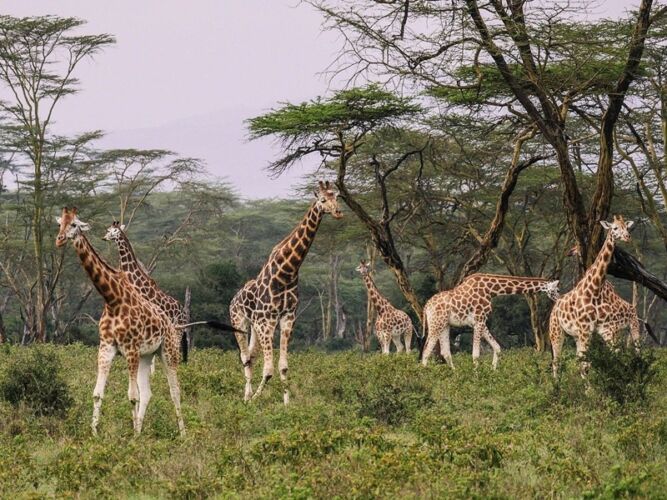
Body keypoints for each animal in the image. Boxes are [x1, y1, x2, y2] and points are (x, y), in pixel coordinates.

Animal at [56, 207, 187, 436]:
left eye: (74, 224)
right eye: (59, 224)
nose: (59, 239)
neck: (112, 299)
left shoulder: (130, 349)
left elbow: (132, 396)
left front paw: (131, 437)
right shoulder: (107, 347)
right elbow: (98, 393)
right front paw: (95, 433)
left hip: (168, 349)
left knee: (174, 391)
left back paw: (183, 434)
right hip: (147, 354)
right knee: (148, 392)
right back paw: (140, 431)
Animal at [229, 180, 342, 403]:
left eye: (336, 196)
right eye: (322, 199)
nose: (338, 212)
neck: (287, 272)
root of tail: (233, 299)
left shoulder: (287, 318)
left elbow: (283, 367)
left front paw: (287, 404)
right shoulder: (266, 320)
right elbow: (268, 370)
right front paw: (254, 400)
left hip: (254, 326)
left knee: (251, 357)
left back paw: (248, 395)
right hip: (240, 322)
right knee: (245, 357)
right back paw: (246, 397)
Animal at [420, 273, 560, 369]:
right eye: (557, 289)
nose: (559, 298)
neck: (491, 290)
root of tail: (426, 307)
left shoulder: (480, 321)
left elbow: (497, 348)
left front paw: (493, 371)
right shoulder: (479, 319)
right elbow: (476, 354)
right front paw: (477, 377)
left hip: (444, 325)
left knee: (445, 352)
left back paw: (454, 374)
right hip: (436, 323)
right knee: (426, 351)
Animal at [549, 215, 635, 378]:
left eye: (627, 228)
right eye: (614, 228)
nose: (627, 237)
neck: (594, 291)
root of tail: (555, 305)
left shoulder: (597, 330)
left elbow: (591, 361)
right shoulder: (585, 329)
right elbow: (585, 363)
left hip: (576, 335)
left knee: (575, 359)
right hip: (556, 332)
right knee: (556, 361)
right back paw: (556, 383)